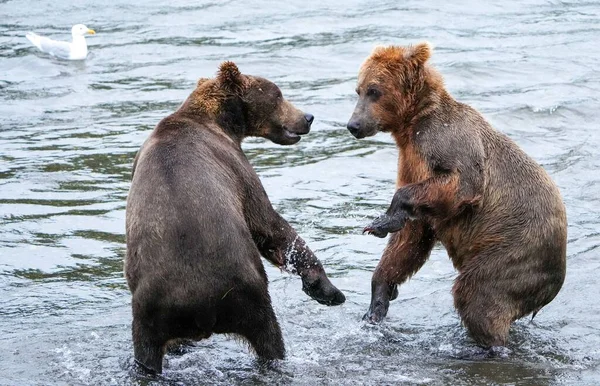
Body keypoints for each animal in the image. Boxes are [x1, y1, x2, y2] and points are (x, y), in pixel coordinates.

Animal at [124, 61, 344, 376]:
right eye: (278, 94)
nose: (308, 117)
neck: (221, 121)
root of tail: (199, 304)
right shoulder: (236, 166)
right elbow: (267, 223)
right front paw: (324, 287)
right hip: (247, 293)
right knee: (269, 336)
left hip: (148, 317)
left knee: (147, 352)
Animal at [346, 43, 568, 348]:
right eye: (358, 90)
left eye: (374, 90)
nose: (353, 125)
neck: (411, 126)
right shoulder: (411, 161)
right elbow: (411, 238)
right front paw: (378, 298)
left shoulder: (444, 140)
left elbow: (462, 183)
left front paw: (380, 221)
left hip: (514, 248)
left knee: (478, 295)